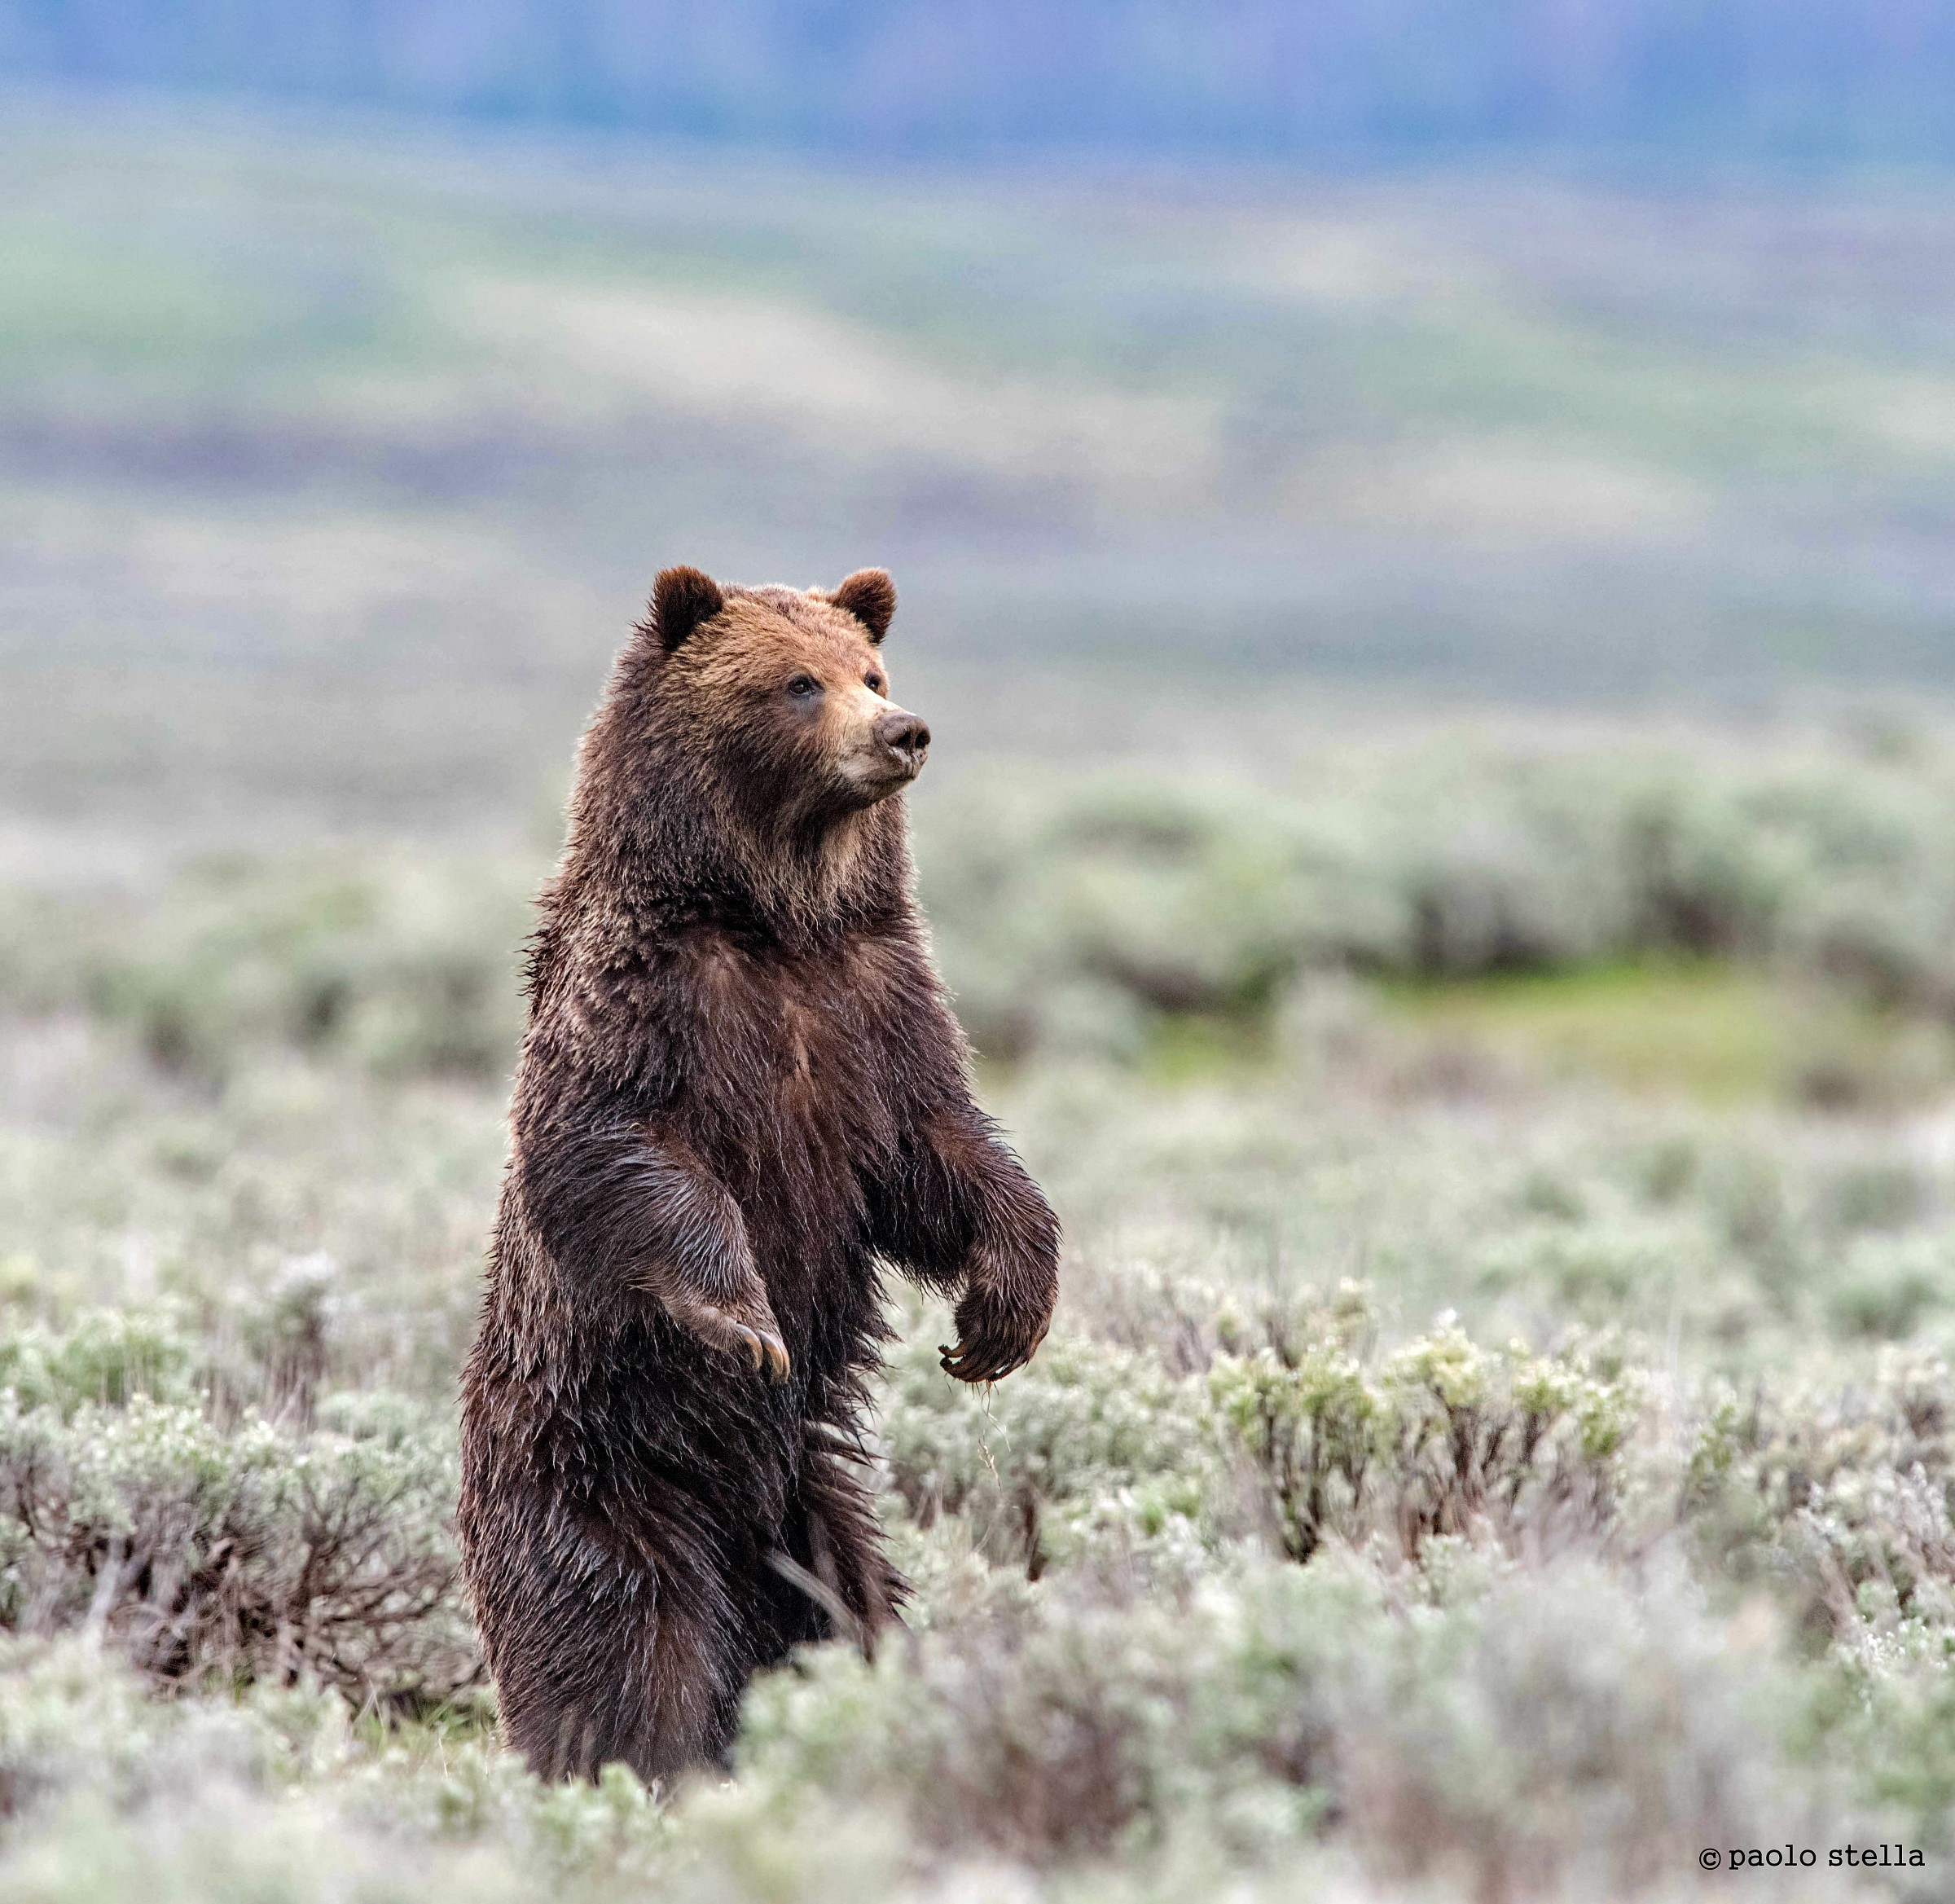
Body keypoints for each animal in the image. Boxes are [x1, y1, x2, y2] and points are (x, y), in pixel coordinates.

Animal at [457, 564, 1060, 1784]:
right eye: (796, 684)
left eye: (869, 670)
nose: (903, 730)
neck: (775, 918)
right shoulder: (648, 1003)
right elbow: (615, 1151)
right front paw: (747, 1322)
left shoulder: (875, 1007)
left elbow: (942, 1154)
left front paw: (1003, 1314)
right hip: (601, 1482)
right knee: (623, 1646)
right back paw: (635, 1760)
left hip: (814, 1512)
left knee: (848, 1614)